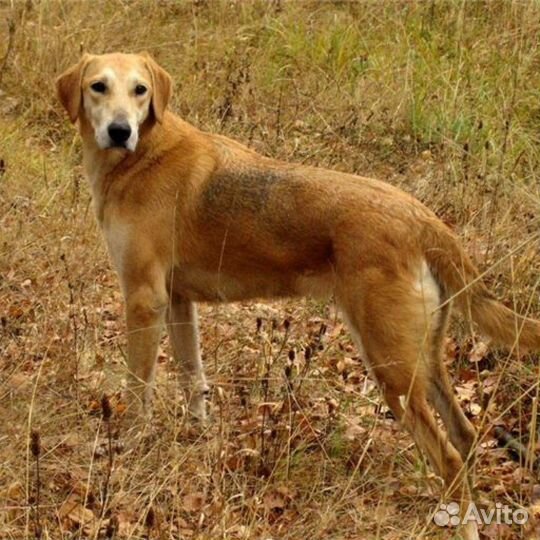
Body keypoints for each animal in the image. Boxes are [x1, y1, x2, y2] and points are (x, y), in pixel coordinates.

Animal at [56, 51, 540, 540]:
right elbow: (194, 380)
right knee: (465, 436)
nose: (120, 131)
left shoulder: (143, 299)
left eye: (140, 90)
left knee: (450, 456)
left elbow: (139, 388)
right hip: (421, 360)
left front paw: (131, 446)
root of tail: (421, 218)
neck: (143, 156)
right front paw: (196, 438)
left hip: (392, 370)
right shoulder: (177, 303)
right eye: (98, 86)